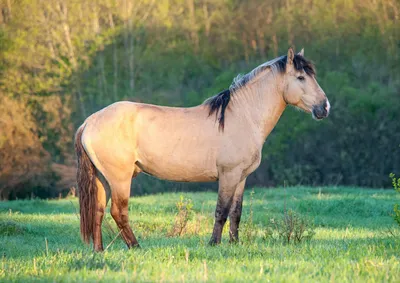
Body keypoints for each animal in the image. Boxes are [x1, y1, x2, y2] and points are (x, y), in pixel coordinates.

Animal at [76, 47, 332, 252]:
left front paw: (235, 243)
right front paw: (214, 244)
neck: (243, 116)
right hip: (120, 179)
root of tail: (89, 122)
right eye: (301, 77)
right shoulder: (228, 175)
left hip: (101, 178)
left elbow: (236, 212)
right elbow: (221, 211)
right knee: (118, 212)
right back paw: (136, 247)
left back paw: (99, 251)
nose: (325, 107)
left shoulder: (241, 178)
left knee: (98, 211)